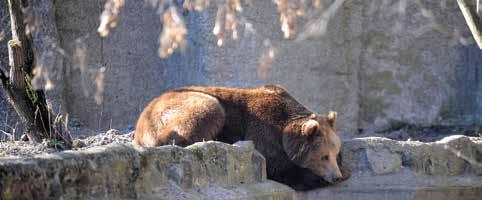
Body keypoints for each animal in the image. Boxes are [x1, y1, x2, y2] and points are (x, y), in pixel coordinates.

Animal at [134, 85, 348, 190]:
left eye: (335, 152)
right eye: (323, 156)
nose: (336, 177)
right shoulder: (263, 129)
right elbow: (279, 167)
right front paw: (315, 177)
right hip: (183, 105)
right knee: (207, 111)